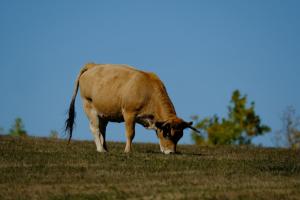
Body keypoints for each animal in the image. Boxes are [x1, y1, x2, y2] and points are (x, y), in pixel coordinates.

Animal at [65, 63, 199, 154]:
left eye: (179, 136)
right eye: (167, 134)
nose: (171, 152)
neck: (148, 91)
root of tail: (93, 65)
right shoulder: (129, 113)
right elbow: (130, 133)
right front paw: (128, 150)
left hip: (103, 113)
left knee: (102, 129)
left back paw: (105, 148)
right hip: (89, 106)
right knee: (95, 128)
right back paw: (100, 149)